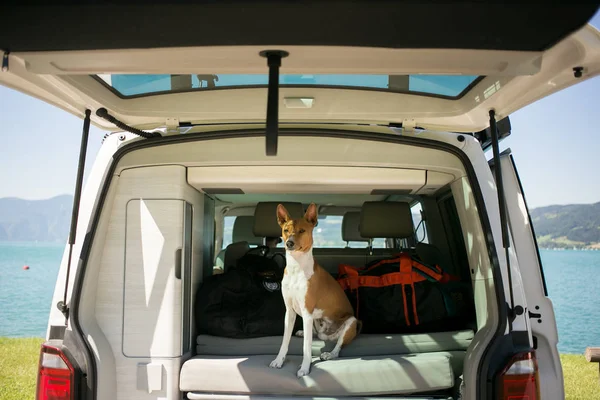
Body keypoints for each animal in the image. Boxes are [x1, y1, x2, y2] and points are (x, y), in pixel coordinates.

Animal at [268, 205, 360, 376]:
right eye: (286, 230)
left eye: (302, 231)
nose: (289, 243)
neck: (296, 267)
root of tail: (328, 335)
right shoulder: (289, 311)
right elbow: (285, 341)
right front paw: (278, 360)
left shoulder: (307, 312)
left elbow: (306, 347)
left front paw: (304, 368)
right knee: (314, 334)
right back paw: (303, 332)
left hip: (350, 322)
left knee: (338, 347)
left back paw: (329, 353)